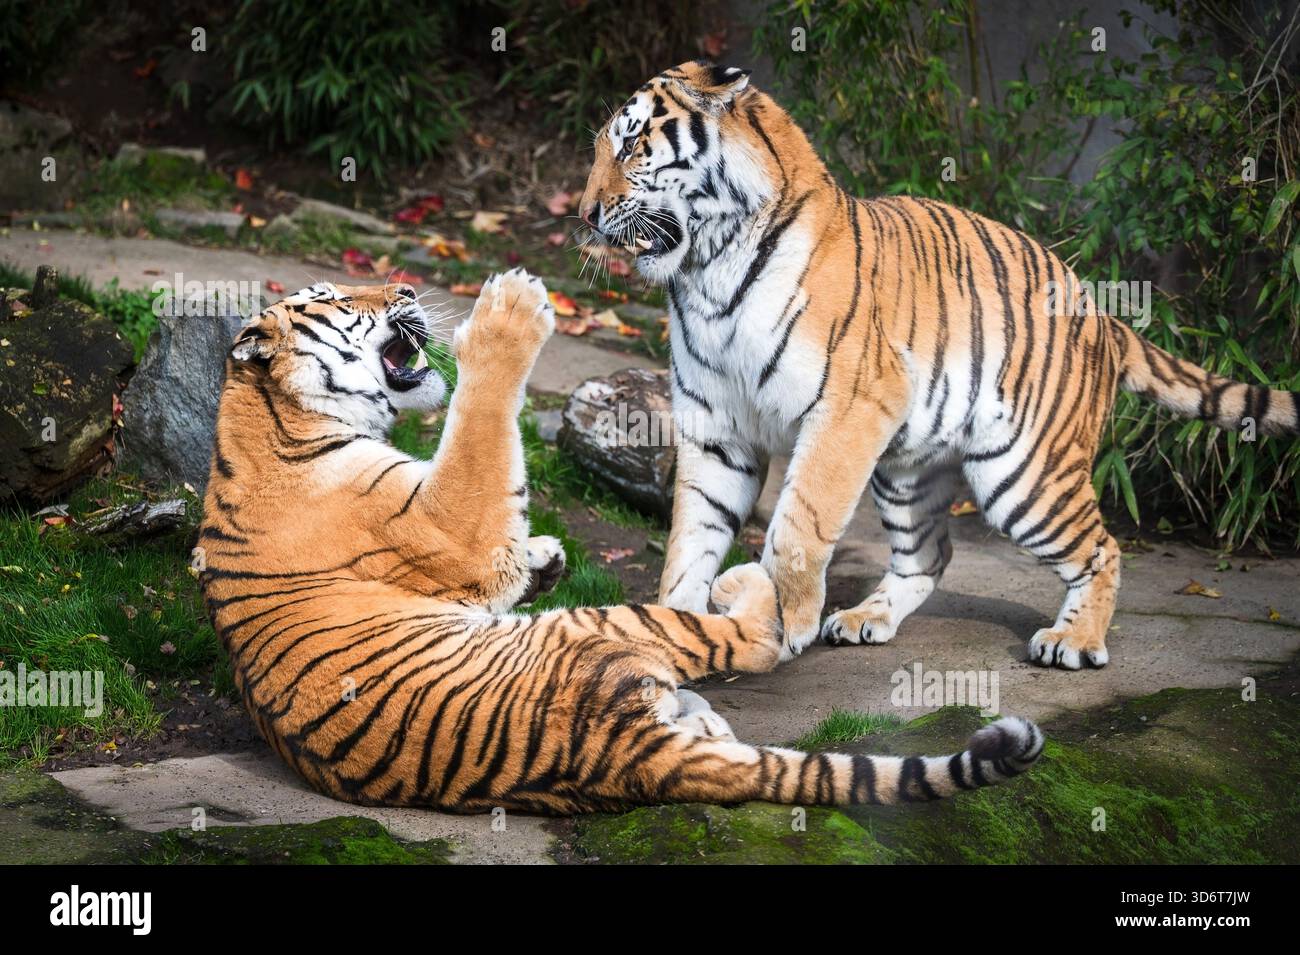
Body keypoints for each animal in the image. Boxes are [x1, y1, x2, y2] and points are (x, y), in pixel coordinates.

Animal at [196, 270, 1044, 813]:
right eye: (340, 300)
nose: (403, 292)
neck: (266, 421)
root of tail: (622, 764)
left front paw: (544, 556)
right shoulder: (450, 518)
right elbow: (480, 424)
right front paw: (508, 307)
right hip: (598, 626)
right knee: (756, 639)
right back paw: (745, 588)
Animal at [578, 60, 1300, 671]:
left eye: (632, 145)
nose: (584, 215)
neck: (706, 270)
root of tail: (1103, 311)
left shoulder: (846, 410)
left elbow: (797, 524)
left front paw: (784, 621)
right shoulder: (716, 426)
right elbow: (690, 537)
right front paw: (673, 629)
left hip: (1024, 475)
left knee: (1103, 546)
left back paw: (1074, 641)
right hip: (908, 469)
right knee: (930, 552)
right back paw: (865, 617)